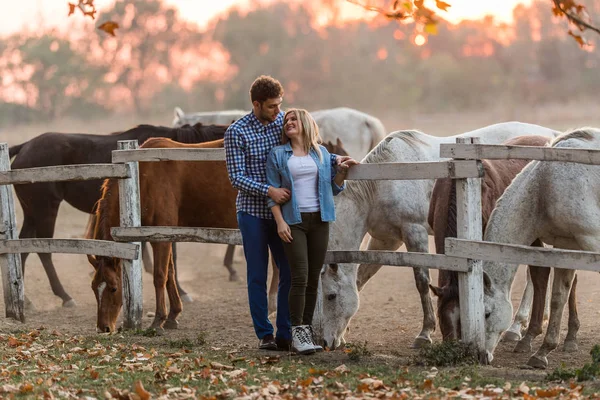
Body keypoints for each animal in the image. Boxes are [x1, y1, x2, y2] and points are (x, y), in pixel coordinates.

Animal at [9, 123, 230, 308]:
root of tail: (25, 146)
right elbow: (170, 257)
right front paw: (181, 292)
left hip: (32, 213)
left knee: (23, 247)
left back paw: (26, 299)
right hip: (46, 209)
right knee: (43, 250)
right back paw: (64, 296)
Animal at [316, 121, 560, 350]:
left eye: (331, 296)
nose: (327, 342)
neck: (383, 182)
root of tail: (552, 136)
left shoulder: (414, 232)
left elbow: (422, 282)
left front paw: (425, 333)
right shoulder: (386, 240)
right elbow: (361, 279)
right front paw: (345, 334)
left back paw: (517, 327)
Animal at [482, 127, 600, 368]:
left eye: (487, 314)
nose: (481, 356)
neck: (547, 184)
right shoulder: (567, 246)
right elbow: (558, 297)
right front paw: (542, 352)